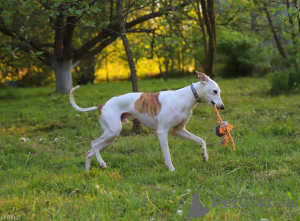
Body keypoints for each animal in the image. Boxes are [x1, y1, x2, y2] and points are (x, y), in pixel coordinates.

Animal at [69, 71, 225, 172]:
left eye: (219, 91)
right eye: (215, 91)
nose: (222, 107)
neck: (185, 97)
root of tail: (101, 105)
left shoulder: (179, 130)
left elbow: (201, 140)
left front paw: (205, 156)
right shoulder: (162, 132)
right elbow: (167, 154)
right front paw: (171, 169)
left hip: (110, 136)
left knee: (89, 152)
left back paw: (88, 171)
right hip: (113, 131)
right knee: (93, 144)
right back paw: (102, 163)